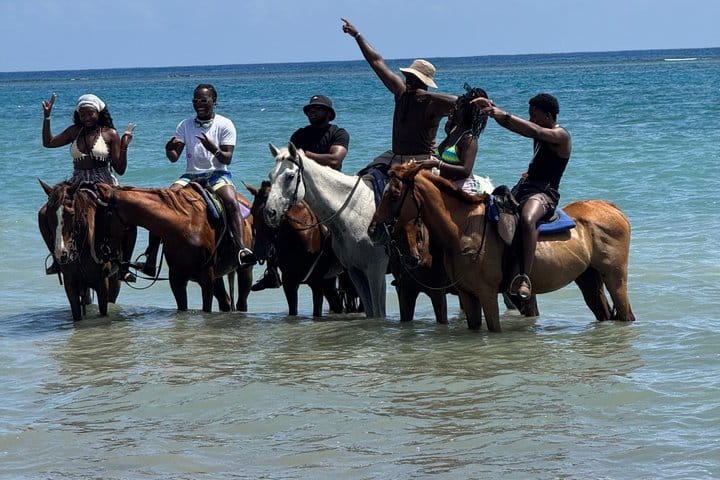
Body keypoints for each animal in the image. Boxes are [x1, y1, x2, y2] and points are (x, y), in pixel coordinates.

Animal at [93, 183, 253, 313]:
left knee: (241, 302)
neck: (185, 226)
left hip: (244, 270)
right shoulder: (177, 280)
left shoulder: (206, 279)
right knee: (225, 301)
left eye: (101, 216)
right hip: (218, 275)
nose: (99, 251)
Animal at [245, 180, 347, 317]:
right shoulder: (290, 283)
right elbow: (293, 310)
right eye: (251, 211)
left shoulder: (317, 285)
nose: (259, 251)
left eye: (271, 213)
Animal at [263, 143, 388, 318]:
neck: (353, 212)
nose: (270, 212)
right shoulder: (355, 271)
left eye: (290, 176)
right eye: (271, 176)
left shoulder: (375, 270)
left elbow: (378, 313)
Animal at [368, 163, 635, 332]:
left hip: (615, 278)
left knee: (626, 315)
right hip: (589, 278)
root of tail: (612, 208)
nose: (373, 229)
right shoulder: (466, 295)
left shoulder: (486, 294)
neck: (463, 231)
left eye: (394, 194)